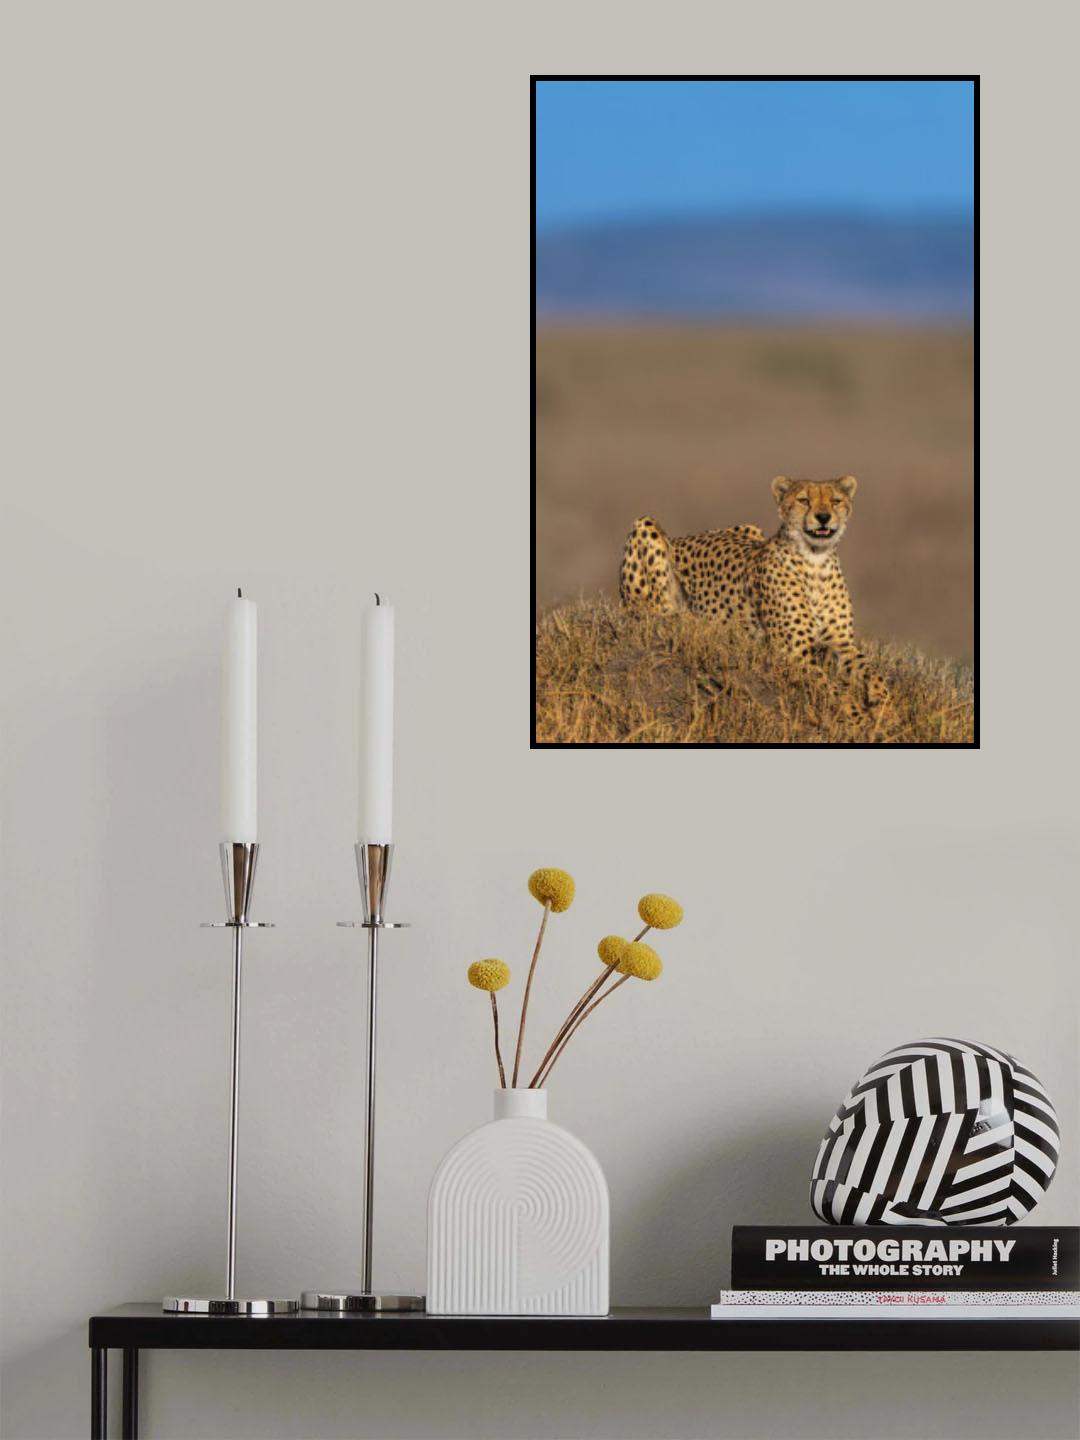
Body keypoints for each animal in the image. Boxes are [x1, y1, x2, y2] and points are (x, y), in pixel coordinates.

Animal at [619, 475, 889, 713]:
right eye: (803, 500)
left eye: (835, 501)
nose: (823, 517)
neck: (816, 561)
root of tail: (683, 537)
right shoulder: (794, 651)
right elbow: (830, 687)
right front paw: (857, 715)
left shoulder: (842, 643)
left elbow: (873, 672)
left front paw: (884, 707)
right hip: (645, 526)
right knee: (651, 612)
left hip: (750, 527)